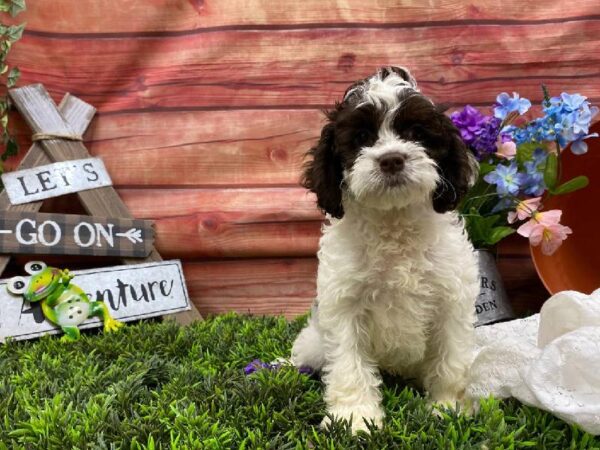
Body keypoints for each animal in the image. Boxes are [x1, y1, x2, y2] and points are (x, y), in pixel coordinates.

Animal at [290, 66, 478, 432]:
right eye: (362, 138)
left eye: (416, 133)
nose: (392, 159)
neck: (394, 221)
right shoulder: (344, 305)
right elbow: (348, 364)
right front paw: (354, 418)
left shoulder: (451, 300)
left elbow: (450, 359)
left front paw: (447, 406)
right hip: (313, 341)